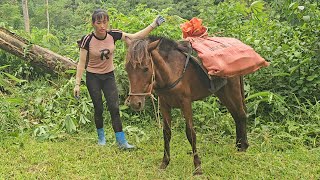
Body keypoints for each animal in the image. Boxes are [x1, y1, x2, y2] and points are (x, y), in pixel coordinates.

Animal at [124, 35, 249, 175]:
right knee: (236, 116)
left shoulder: (186, 103)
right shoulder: (164, 104)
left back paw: (243, 148)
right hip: (222, 92)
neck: (171, 72)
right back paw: (238, 146)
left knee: (241, 115)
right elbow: (166, 132)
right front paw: (164, 163)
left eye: (145, 68)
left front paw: (198, 167)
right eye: (127, 69)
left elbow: (190, 133)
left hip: (232, 89)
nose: (135, 103)